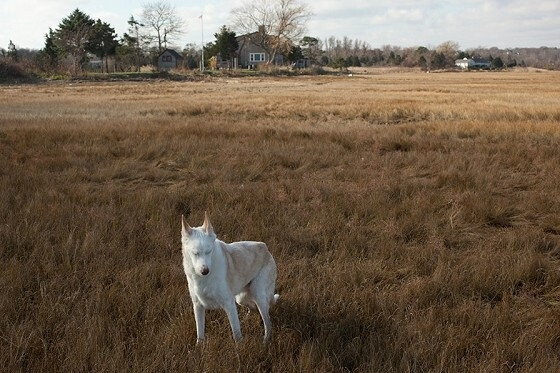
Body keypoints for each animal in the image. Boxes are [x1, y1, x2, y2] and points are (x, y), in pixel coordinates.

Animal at [180, 212, 278, 342]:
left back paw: (265, 341)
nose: (205, 271)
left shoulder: (229, 304)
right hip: (240, 299)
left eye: (209, 251)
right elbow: (200, 334)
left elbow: (236, 334)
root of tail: (265, 248)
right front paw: (199, 346)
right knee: (253, 308)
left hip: (258, 295)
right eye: (195, 253)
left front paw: (240, 346)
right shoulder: (198, 306)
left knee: (268, 322)